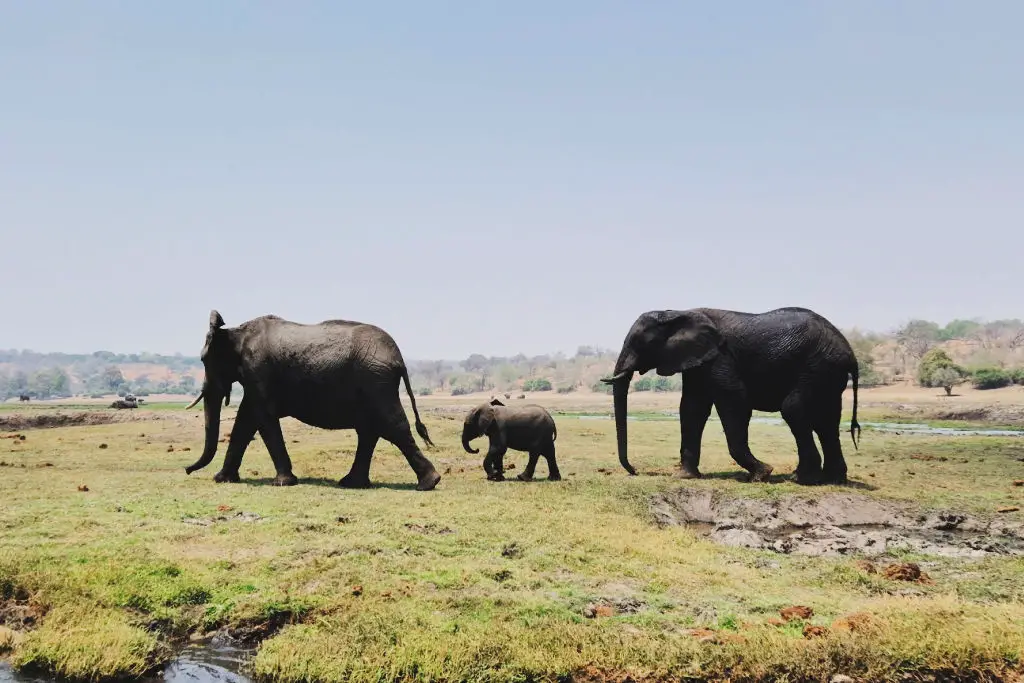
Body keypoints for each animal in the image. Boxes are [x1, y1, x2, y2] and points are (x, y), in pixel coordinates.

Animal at [183, 310, 441, 491]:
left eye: (203, 360)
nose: (186, 470)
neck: (235, 332)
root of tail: (399, 359)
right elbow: (245, 421)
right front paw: (222, 479)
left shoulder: (258, 370)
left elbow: (263, 417)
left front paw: (283, 483)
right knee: (370, 430)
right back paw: (352, 483)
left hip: (376, 381)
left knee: (392, 426)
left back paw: (428, 483)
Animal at [602, 307, 861, 485]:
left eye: (639, 342)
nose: (635, 471)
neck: (677, 312)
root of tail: (851, 354)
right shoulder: (698, 361)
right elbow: (692, 408)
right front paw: (685, 476)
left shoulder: (721, 357)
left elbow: (734, 401)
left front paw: (762, 474)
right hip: (828, 372)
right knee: (826, 421)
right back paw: (832, 480)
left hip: (817, 366)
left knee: (794, 408)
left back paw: (801, 479)